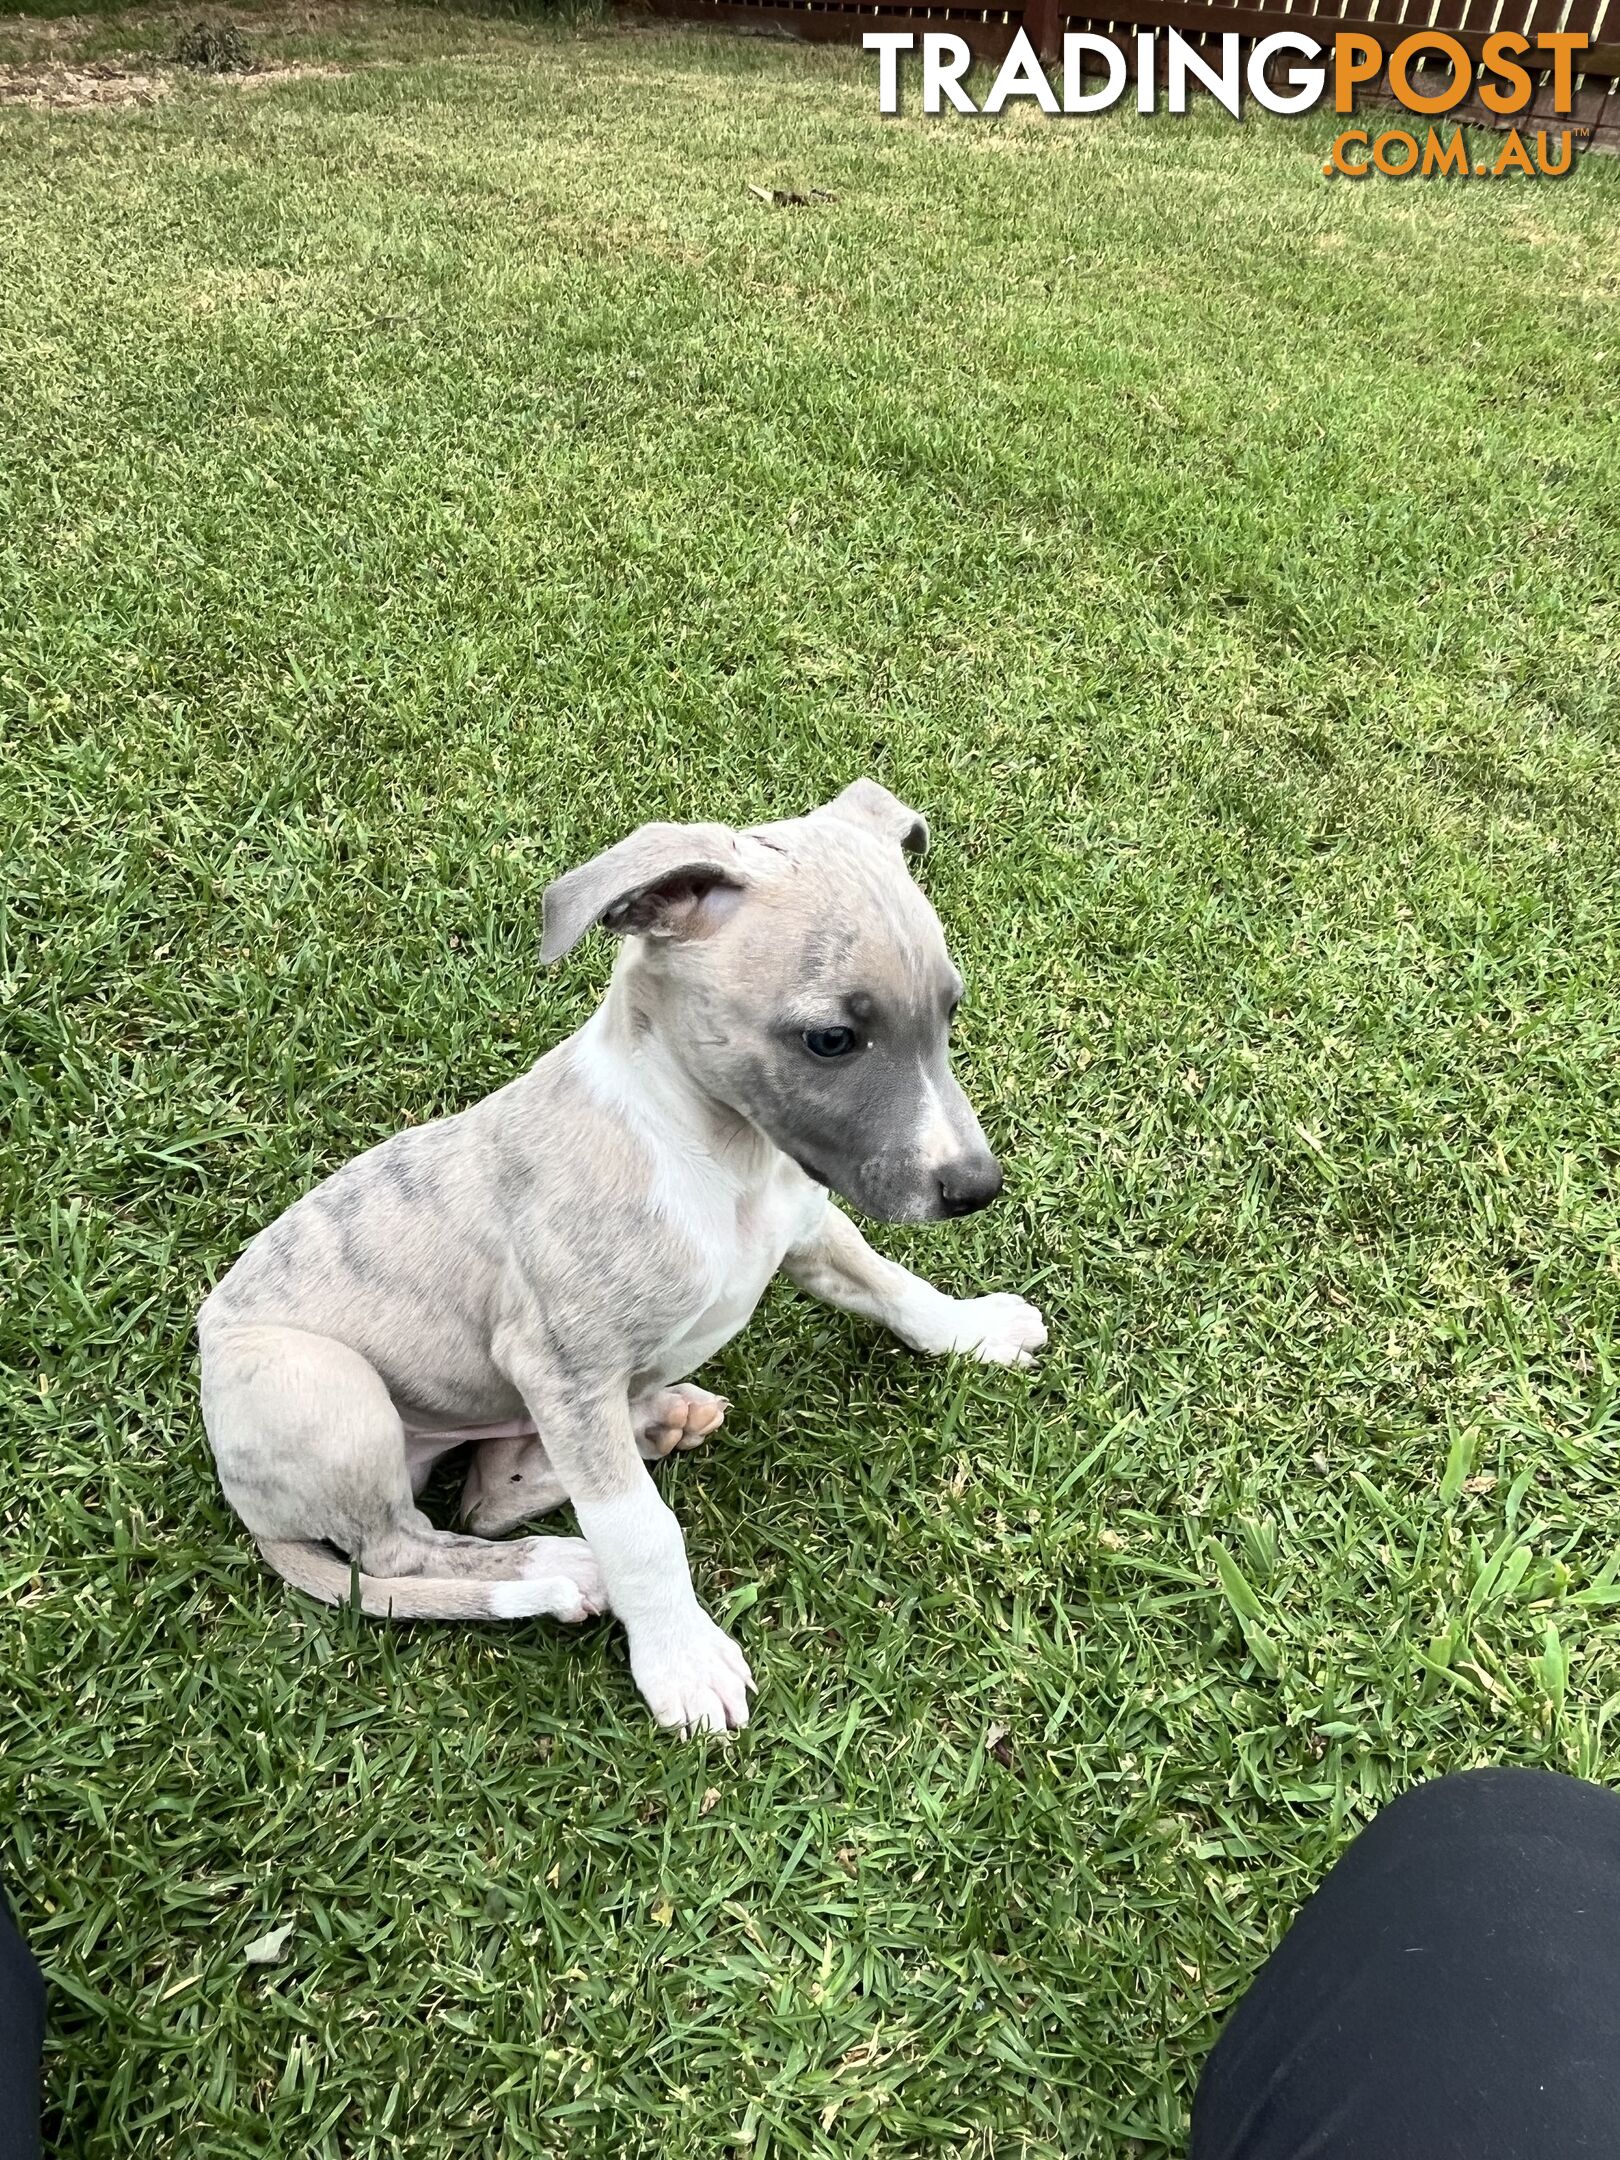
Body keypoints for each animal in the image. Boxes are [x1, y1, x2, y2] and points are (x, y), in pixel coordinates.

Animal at [196, 786, 1045, 1728]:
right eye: (830, 1039)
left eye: (951, 1011)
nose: (976, 1187)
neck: (717, 1156)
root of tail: (247, 1501)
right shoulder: (560, 1367)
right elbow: (639, 1529)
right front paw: (680, 1659)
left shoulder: (808, 1230)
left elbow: (892, 1284)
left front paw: (974, 1329)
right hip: (325, 1386)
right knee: (403, 1548)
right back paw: (555, 1566)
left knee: (486, 1497)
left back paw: (648, 1426)